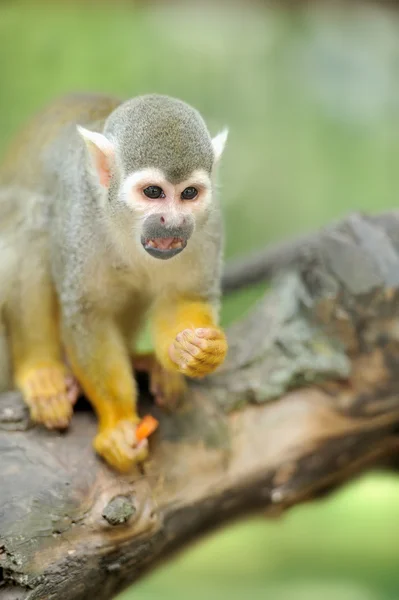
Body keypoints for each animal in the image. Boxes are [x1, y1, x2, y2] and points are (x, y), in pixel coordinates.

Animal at [0, 94, 228, 472]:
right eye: (153, 192)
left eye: (189, 194)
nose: (174, 222)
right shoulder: (79, 218)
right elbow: (88, 314)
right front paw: (119, 424)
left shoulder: (208, 226)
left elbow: (183, 298)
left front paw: (197, 352)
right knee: (32, 219)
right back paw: (41, 370)